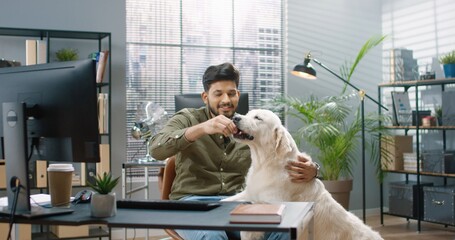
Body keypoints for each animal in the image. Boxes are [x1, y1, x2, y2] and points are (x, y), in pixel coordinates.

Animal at [226, 109, 382, 240]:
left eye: (258, 118)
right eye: (248, 113)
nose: (235, 117)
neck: (266, 162)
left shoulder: (272, 203)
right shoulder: (249, 193)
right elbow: (228, 200)